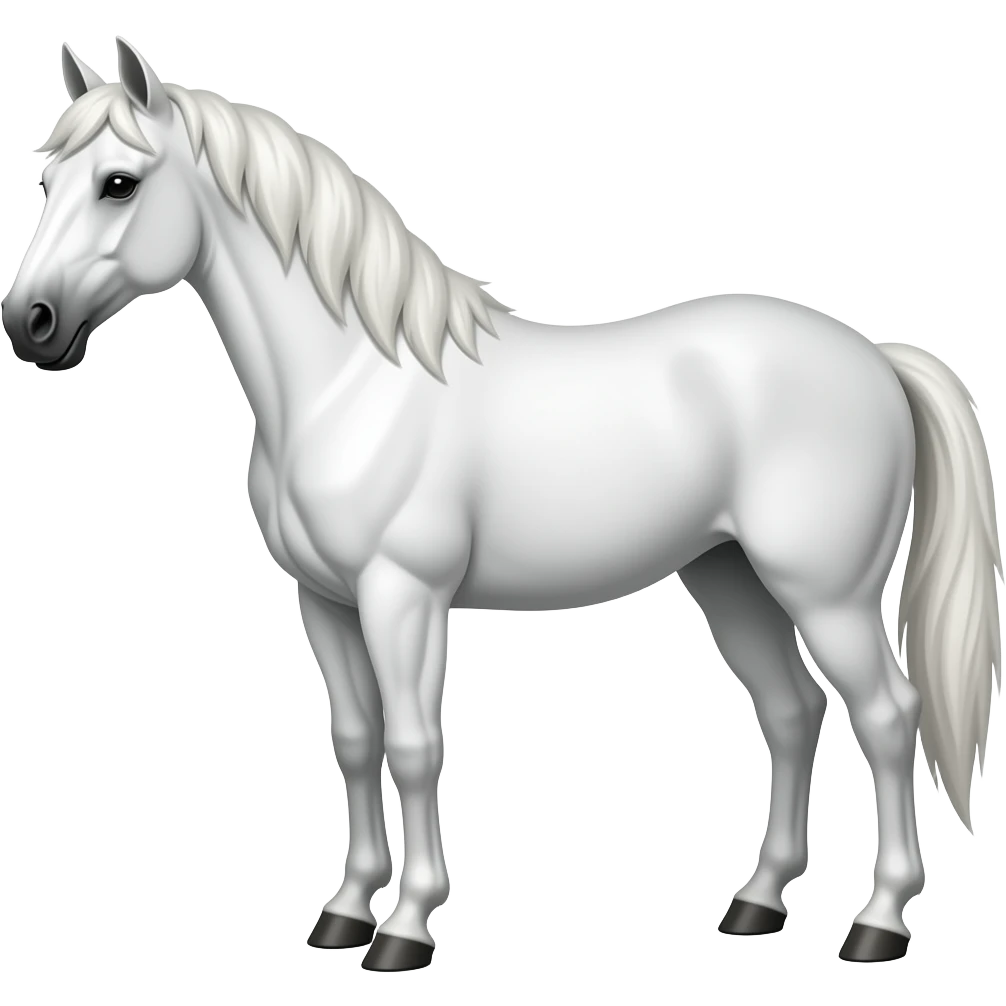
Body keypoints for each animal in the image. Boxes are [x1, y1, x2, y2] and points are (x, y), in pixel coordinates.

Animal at [3, 36, 1000, 970]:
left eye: (120, 183)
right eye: (46, 178)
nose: (30, 325)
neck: (355, 382)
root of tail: (875, 357)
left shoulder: (403, 597)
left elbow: (414, 745)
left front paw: (405, 928)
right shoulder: (324, 602)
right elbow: (356, 741)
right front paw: (342, 913)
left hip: (825, 593)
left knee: (888, 718)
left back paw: (877, 923)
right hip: (731, 579)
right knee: (792, 713)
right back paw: (758, 902)